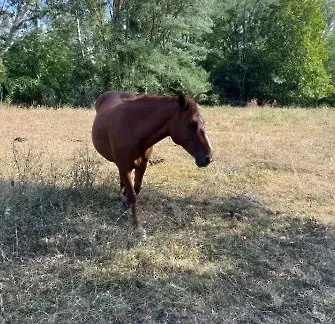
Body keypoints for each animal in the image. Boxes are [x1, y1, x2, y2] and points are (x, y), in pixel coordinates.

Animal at [92, 90, 213, 239]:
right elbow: (132, 195)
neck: (133, 128)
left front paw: (127, 211)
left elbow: (135, 191)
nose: (208, 158)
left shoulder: (142, 166)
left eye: (203, 122)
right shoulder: (125, 167)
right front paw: (137, 228)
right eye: (191, 124)